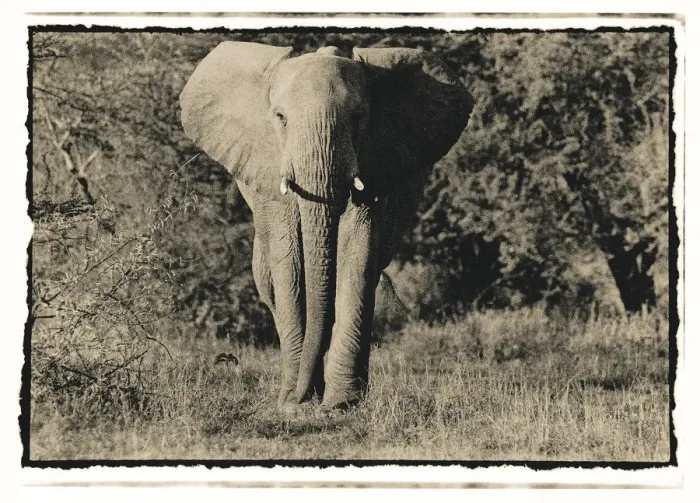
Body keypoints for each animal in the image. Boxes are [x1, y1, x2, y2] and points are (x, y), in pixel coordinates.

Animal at [180, 41, 473, 414]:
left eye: (359, 117)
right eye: (280, 117)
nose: (300, 397)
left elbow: (356, 250)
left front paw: (339, 403)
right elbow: (289, 261)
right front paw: (294, 403)